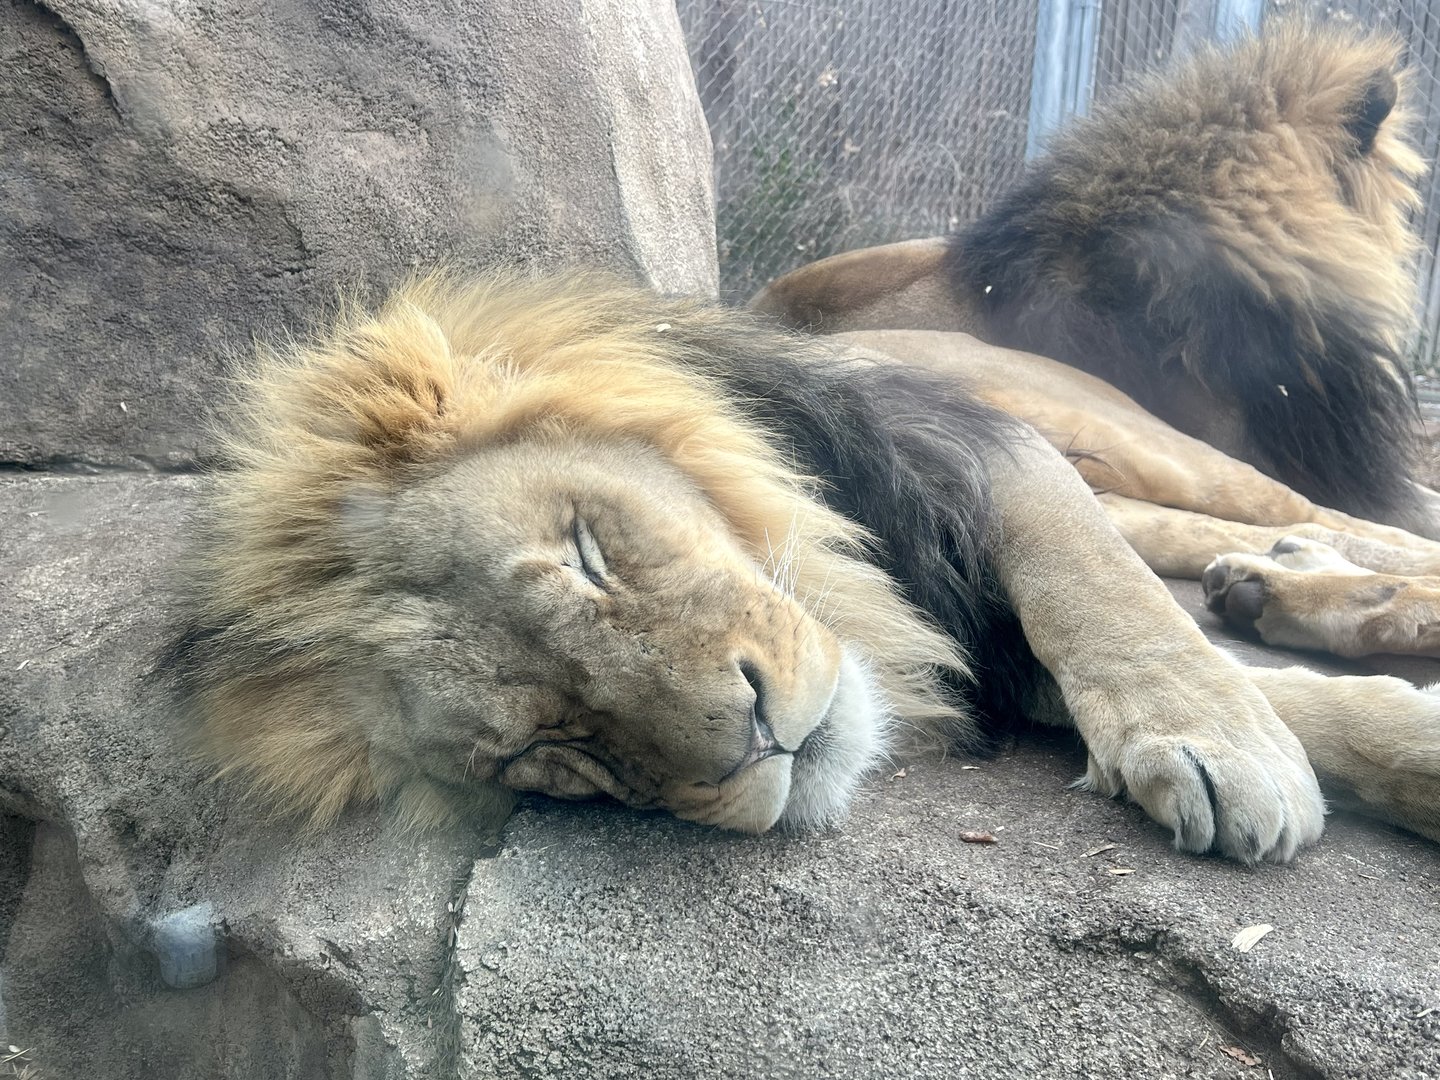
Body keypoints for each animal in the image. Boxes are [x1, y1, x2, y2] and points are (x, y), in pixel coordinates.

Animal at [165, 272, 1440, 860]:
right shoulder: (971, 653)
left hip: (1124, 434)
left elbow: (1102, 589)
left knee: (1328, 506)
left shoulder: (957, 447)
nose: (755, 740)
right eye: (546, 750)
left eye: (587, 552)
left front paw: (1221, 741)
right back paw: (1277, 584)